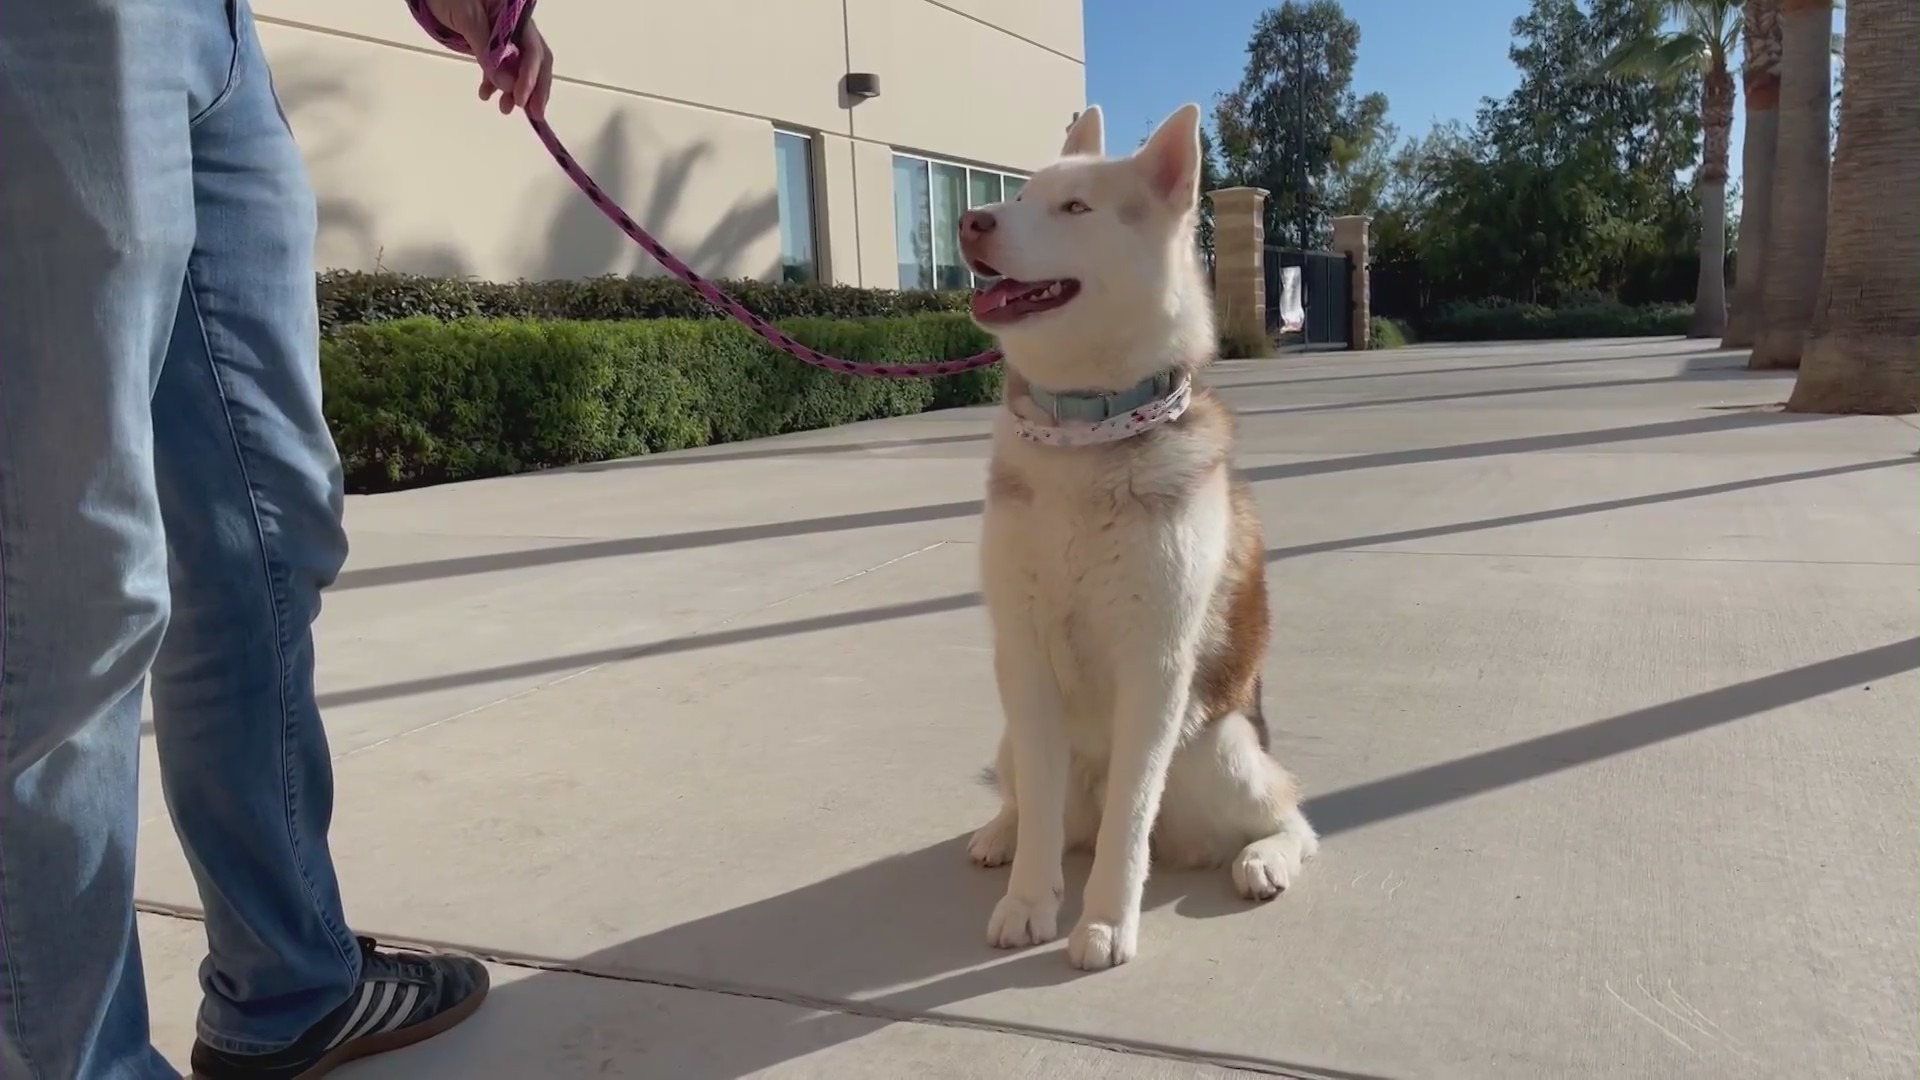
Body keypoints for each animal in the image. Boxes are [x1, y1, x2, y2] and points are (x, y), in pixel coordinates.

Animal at [960, 105, 1320, 972]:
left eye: (1076, 208)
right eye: (1020, 196)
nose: (969, 221)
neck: (1085, 433)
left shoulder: (1155, 664)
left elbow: (1130, 817)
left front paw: (1104, 921)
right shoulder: (1022, 657)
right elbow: (1043, 819)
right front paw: (1028, 899)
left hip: (1220, 751)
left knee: (1292, 813)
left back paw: (1265, 857)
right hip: (1014, 738)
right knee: (1035, 801)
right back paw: (1001, 830)